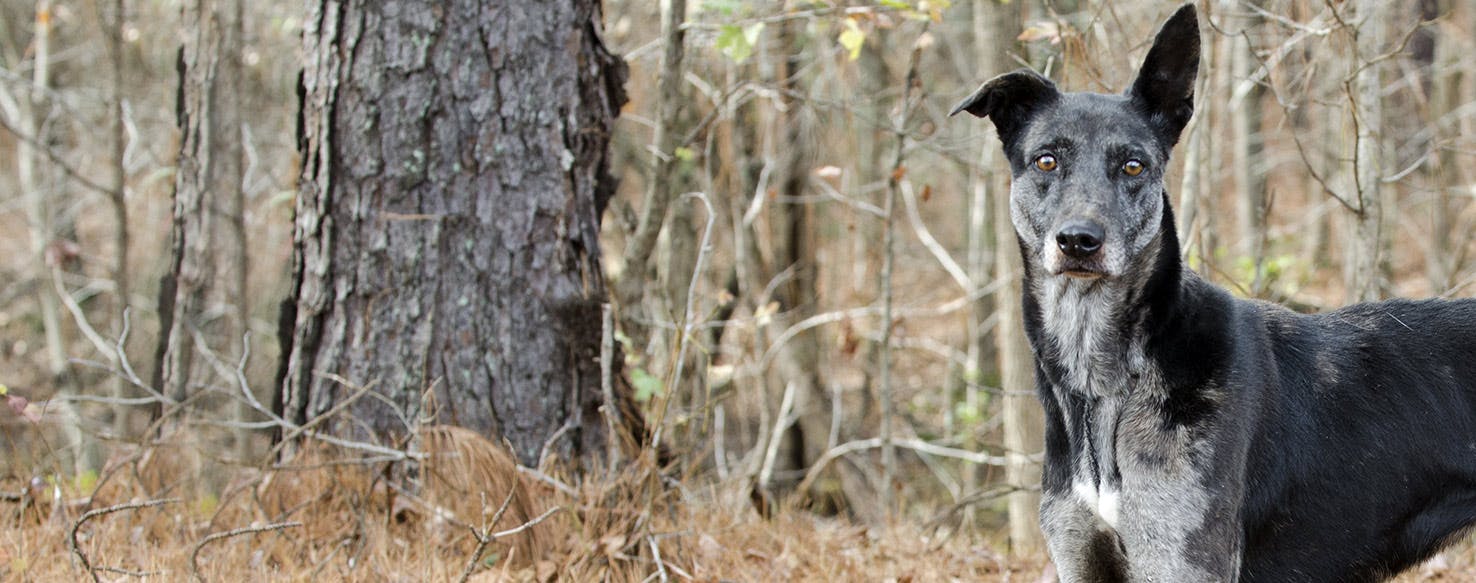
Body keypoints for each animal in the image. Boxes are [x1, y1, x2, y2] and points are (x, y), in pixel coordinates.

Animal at [950, 4, 1476, 583]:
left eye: (1133, 165)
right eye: (1046, 161)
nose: (1079, 241)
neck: (1108, 382)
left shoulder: (1181, 557)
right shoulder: (1080, 555)